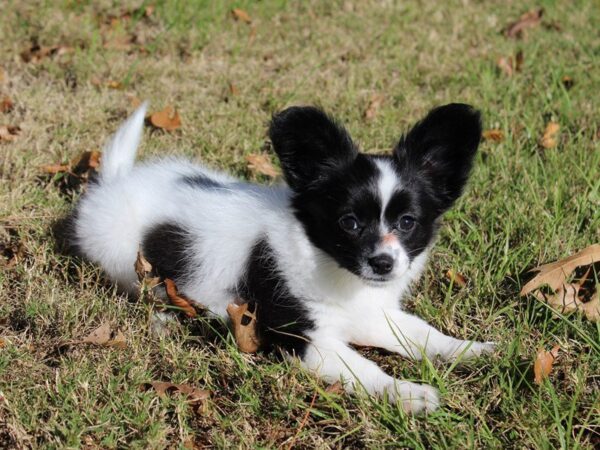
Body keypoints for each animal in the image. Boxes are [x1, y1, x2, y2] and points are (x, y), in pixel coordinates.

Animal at [69, 103, 492, 414]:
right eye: (349, 223)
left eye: (407, 222)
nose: (382, 264)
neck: (333, 266)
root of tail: (114, 182)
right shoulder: (301, 336)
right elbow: (363, 367)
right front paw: (407, 393)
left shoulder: (372, 312)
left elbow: (419, 332)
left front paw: (467, 350)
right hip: (120, 256)